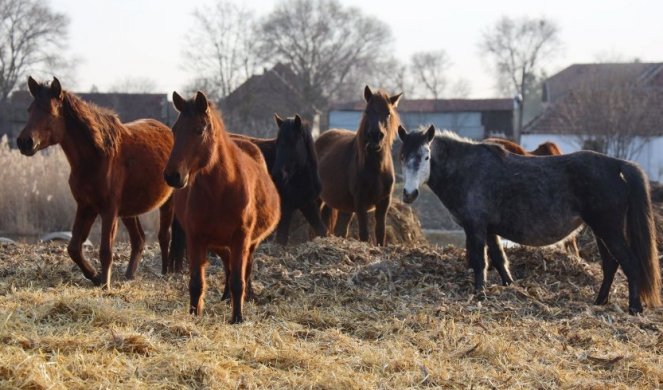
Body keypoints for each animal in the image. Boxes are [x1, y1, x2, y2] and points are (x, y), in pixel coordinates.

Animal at [16, 77, 175, 288]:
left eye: (50, 111)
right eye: (29, 109)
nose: (24, 142)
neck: (97, 156)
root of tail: (169, 131)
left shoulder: (108, 210)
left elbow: (105, 250)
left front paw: (105, 285)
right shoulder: (86, 206)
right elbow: (74, 247)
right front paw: (95, 276)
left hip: (168, 202)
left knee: (164, 236)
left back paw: (165, 273)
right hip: (129, 211)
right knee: (139, 239)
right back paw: (129, 276)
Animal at [167, 91, 282, 322]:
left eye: (199, 129)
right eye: (174, 129)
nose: (172, 175)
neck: (220, 190)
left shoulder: (241, 237)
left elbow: (239, 280)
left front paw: (237, 318)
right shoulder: (196, 238)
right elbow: (196, 282)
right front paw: (194, 315)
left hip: (247, 244)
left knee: (244, 270)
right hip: (219, 245)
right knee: (228, 268)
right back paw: (226, 297)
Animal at [318, 85, 404, 245]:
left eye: (388, 113)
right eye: (367, 111)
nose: (375, 135)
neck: (376, 168)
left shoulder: (384, 202)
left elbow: (380, 232)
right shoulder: (360, 201)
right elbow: (364, 233)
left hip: (343, 206)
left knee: (339, 229)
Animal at [396, 126, 660, 316]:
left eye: (426, 156)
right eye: (402, 156)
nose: (409, 194)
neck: (467, 169)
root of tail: (617, 165)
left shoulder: (476, 227)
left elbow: (480, 262)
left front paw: (480, 294)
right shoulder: (490, 230)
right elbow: (499, 260)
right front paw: (510, 288)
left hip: (608, 229)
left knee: (629, 262)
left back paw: (634, 308)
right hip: (601, 230)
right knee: (610, 264)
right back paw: (600, 301)